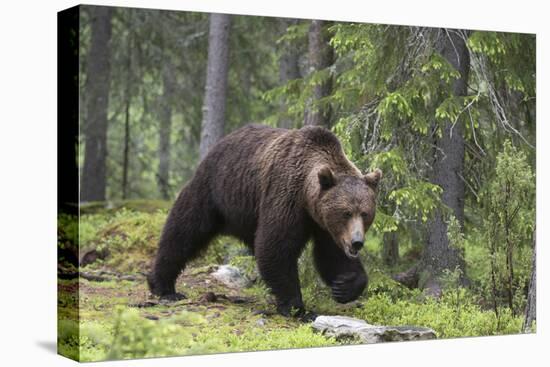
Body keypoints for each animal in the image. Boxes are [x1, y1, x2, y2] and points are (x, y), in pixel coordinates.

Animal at [148, 123, 384, 320]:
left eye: (365, 213)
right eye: (346, 212)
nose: (356, 242)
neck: (307, 199)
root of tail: (221, 142)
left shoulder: (323, 223)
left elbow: (331, 254)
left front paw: (344, 285)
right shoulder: (286, 197)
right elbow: (275, 248)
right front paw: (298, 308)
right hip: (214, 190)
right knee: (184, 230)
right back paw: (163, 287)